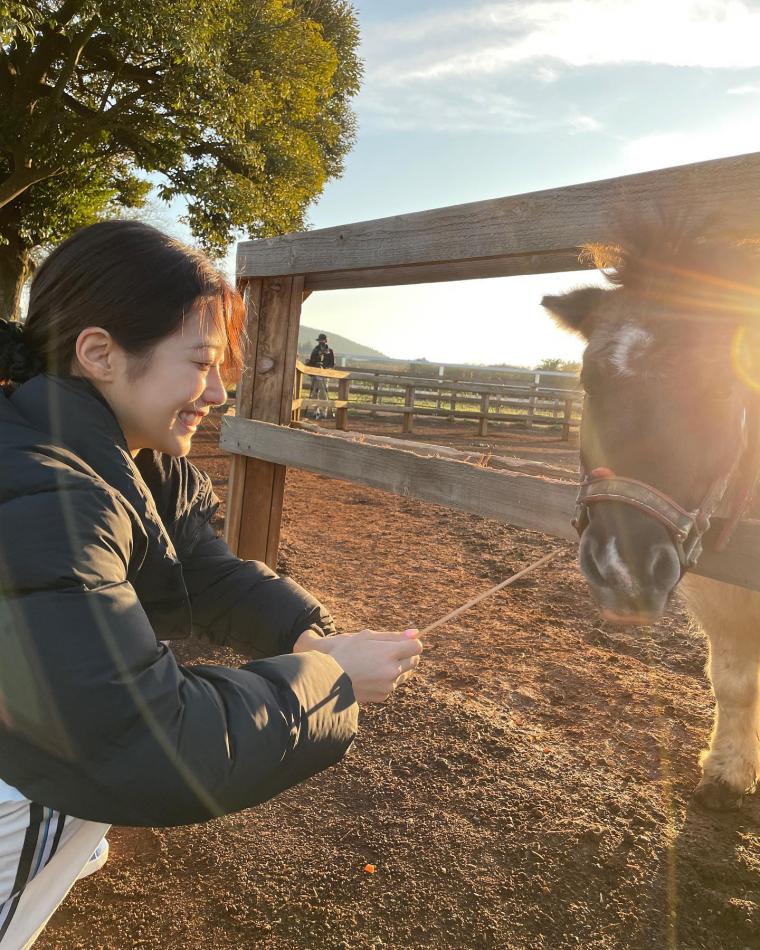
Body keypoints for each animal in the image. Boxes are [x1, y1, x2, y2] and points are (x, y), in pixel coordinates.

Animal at [544, 221, 760, 812]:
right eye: (588, 384)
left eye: (720, 388)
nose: (623, 570)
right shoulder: (721, 592)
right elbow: (734, 681)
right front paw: (728, 772)